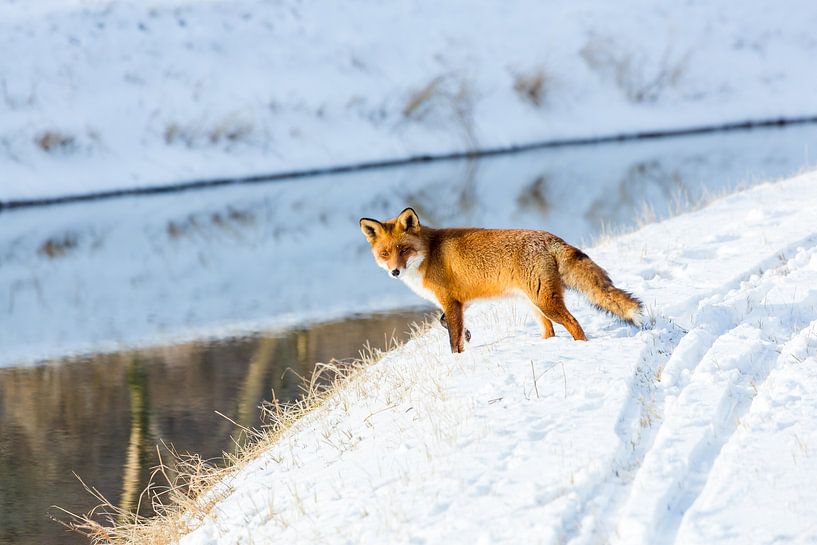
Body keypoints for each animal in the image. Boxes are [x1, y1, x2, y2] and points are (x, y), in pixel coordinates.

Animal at [360, 207, 640, 352]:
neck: (428, 255)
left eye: (404, 250)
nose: (395, 272)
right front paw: (468, 335)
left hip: (545, 303)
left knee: (574, 324)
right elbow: (446, 324)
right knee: (549, 330)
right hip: (534, 305)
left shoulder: (451, 301)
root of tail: (551, 238)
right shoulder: (459, 302)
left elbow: (453, 340)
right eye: (385, 253)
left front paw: (458, 357)